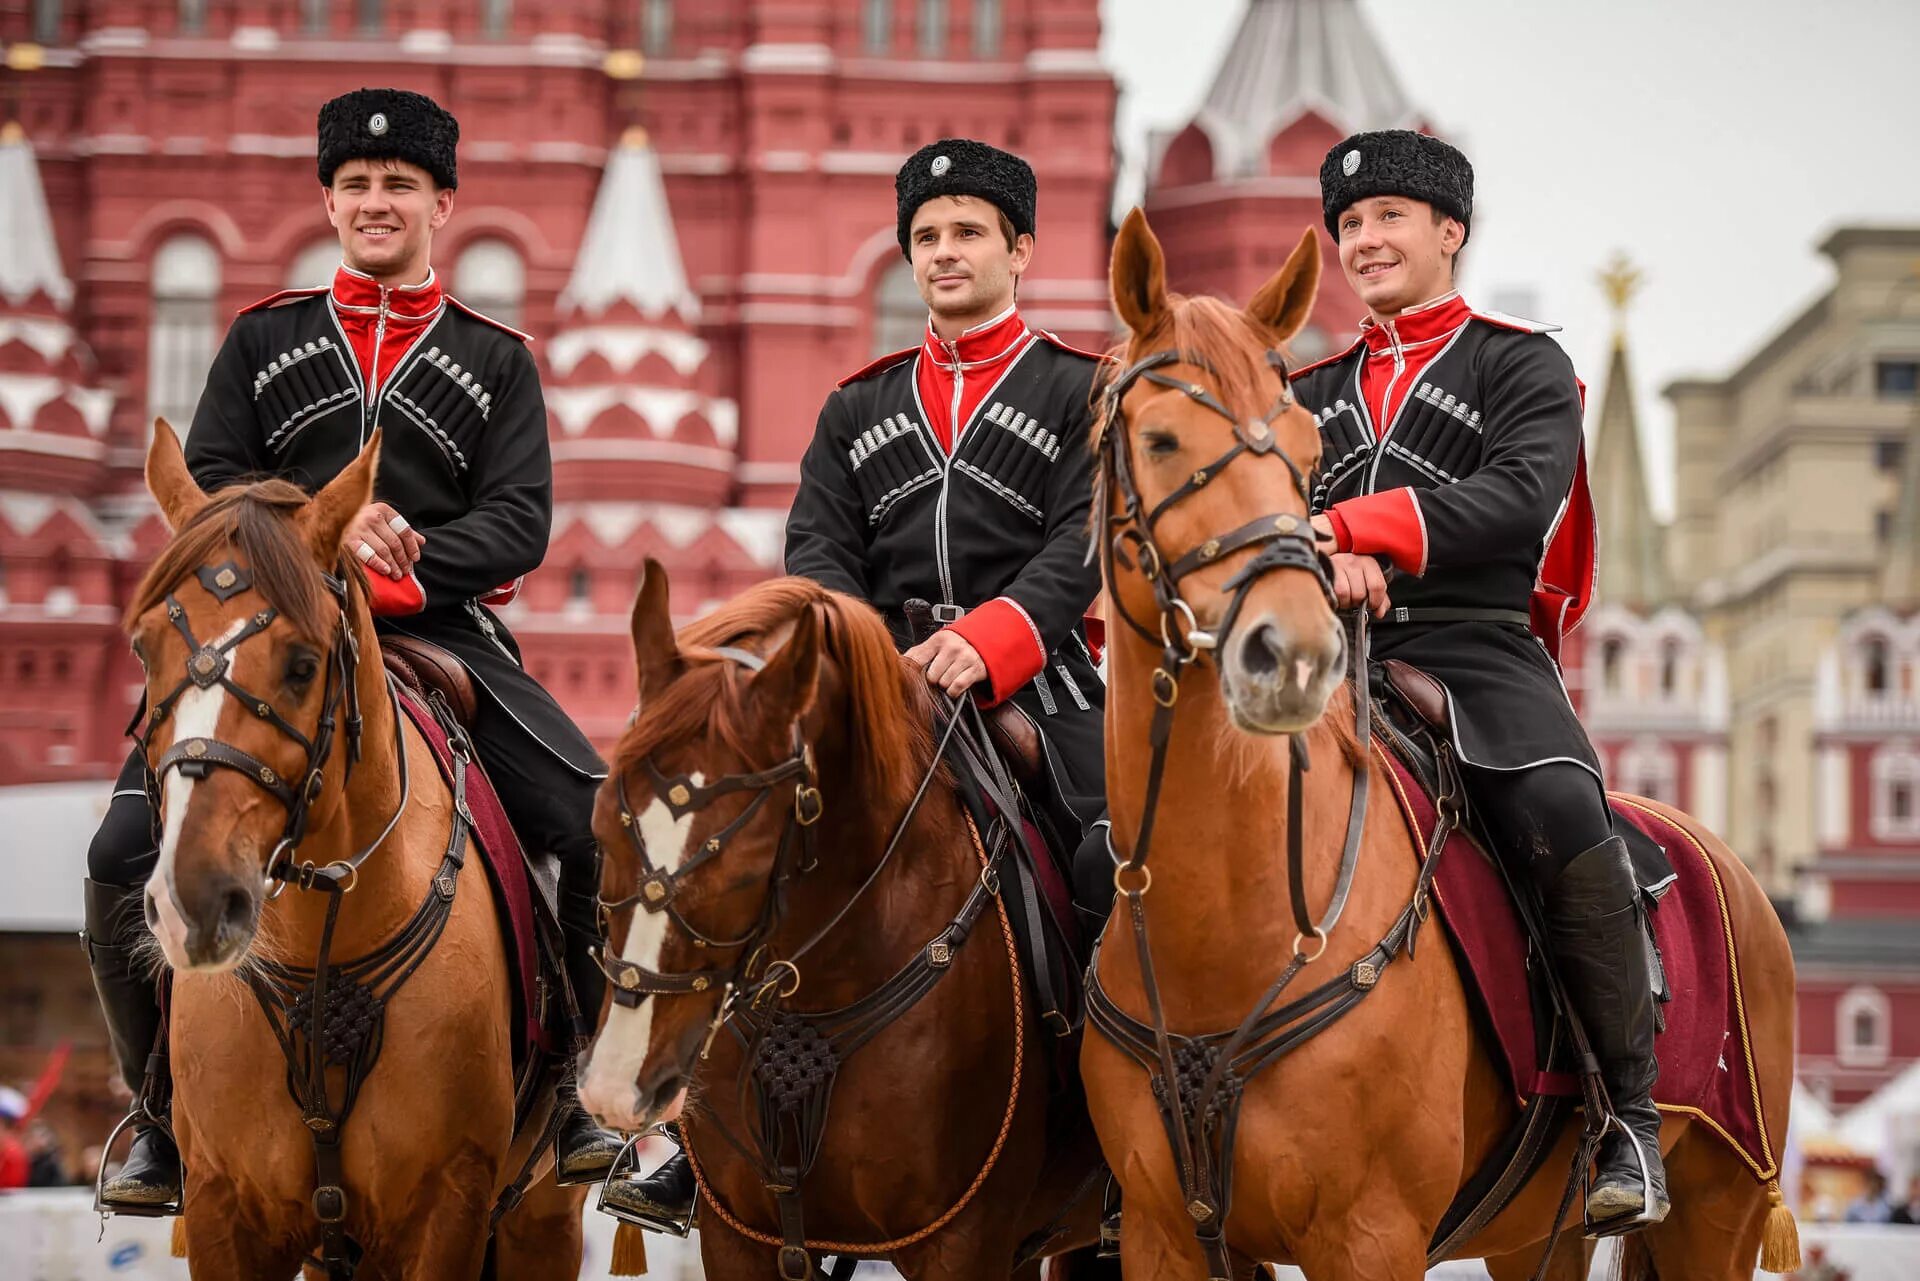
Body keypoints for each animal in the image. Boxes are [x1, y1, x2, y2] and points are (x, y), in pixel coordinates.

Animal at [127, 426, 579, 1275]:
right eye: (144, 650)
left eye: (303, 663)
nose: (195, 902)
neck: (323, 948)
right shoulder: (224, 1207)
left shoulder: (447, 1208)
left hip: (542, 1218)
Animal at [1082, 213, 1797, 1281]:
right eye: (1161, 438)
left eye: (1305, 449)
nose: (1294, 648)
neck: (1226, 926)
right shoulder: (1167, 1235)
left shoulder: (1371, 1234)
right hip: (1540, 1235)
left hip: (1722, 1204)